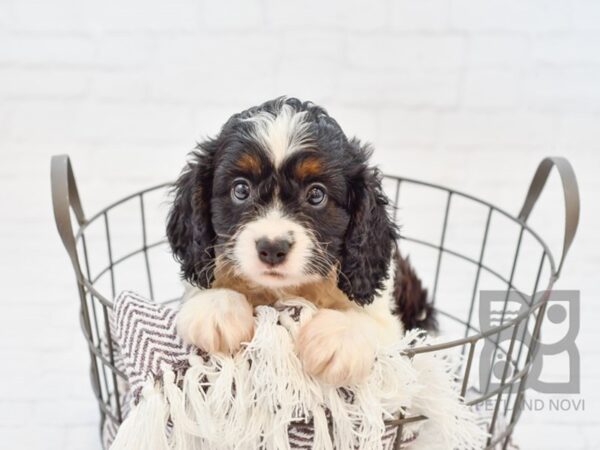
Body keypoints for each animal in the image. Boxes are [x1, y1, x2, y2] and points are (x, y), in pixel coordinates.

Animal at [166, 97, 434, 386]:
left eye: (316, 195)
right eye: (240, 189)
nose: (272, 248)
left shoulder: (386, 318)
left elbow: (371, 322)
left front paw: (338, 337)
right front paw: (216, 306)